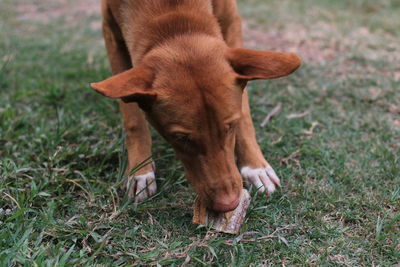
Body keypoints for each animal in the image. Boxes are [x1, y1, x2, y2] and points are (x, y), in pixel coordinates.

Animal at [91, 0, 300, 214]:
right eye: (181, 138)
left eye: (230, 127)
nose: (228, 204)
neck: (174, 20)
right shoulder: (111, 33)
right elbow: (132, 116)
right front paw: (140, 170)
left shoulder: (232, 22)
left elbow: (245, 112)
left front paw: (254, 166)